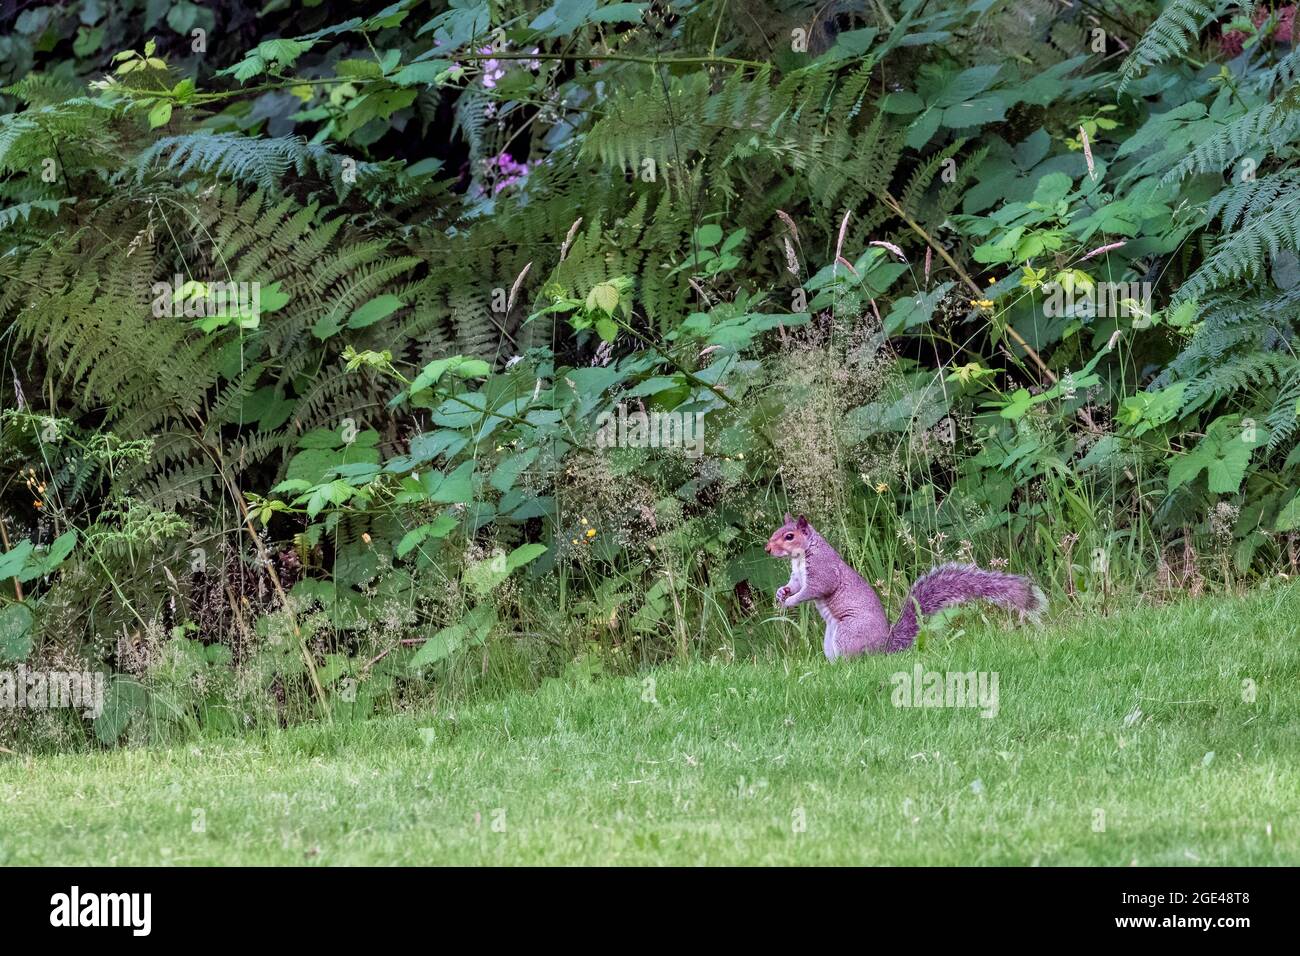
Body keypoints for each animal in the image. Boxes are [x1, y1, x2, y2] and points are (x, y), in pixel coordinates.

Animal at [765, 514, 1045, 659]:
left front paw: (790, 601)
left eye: (789, 536)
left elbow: (814, 590)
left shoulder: (823, 572)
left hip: (848, 633)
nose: (768, 549)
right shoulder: (798, 576)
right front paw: (782, 592)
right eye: (777, 531)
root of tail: (883, 648)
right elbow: (795, 584)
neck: (801, 556)